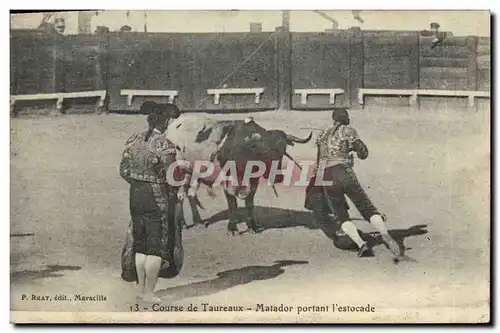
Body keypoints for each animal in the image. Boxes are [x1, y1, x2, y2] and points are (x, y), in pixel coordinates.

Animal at [166, 115, 310, 235]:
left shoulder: (253, 181)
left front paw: (253, 226)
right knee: (180, 196)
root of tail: (174, 124)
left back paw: (196, 221)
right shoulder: (227, 181)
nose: (278, 177)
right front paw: (232, 228)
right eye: (265, 153)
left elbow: (249, 203)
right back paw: (185, 223)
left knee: (189, 194)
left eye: (282, 151)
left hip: (192, 173)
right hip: (178, 172)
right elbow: (232, 204)